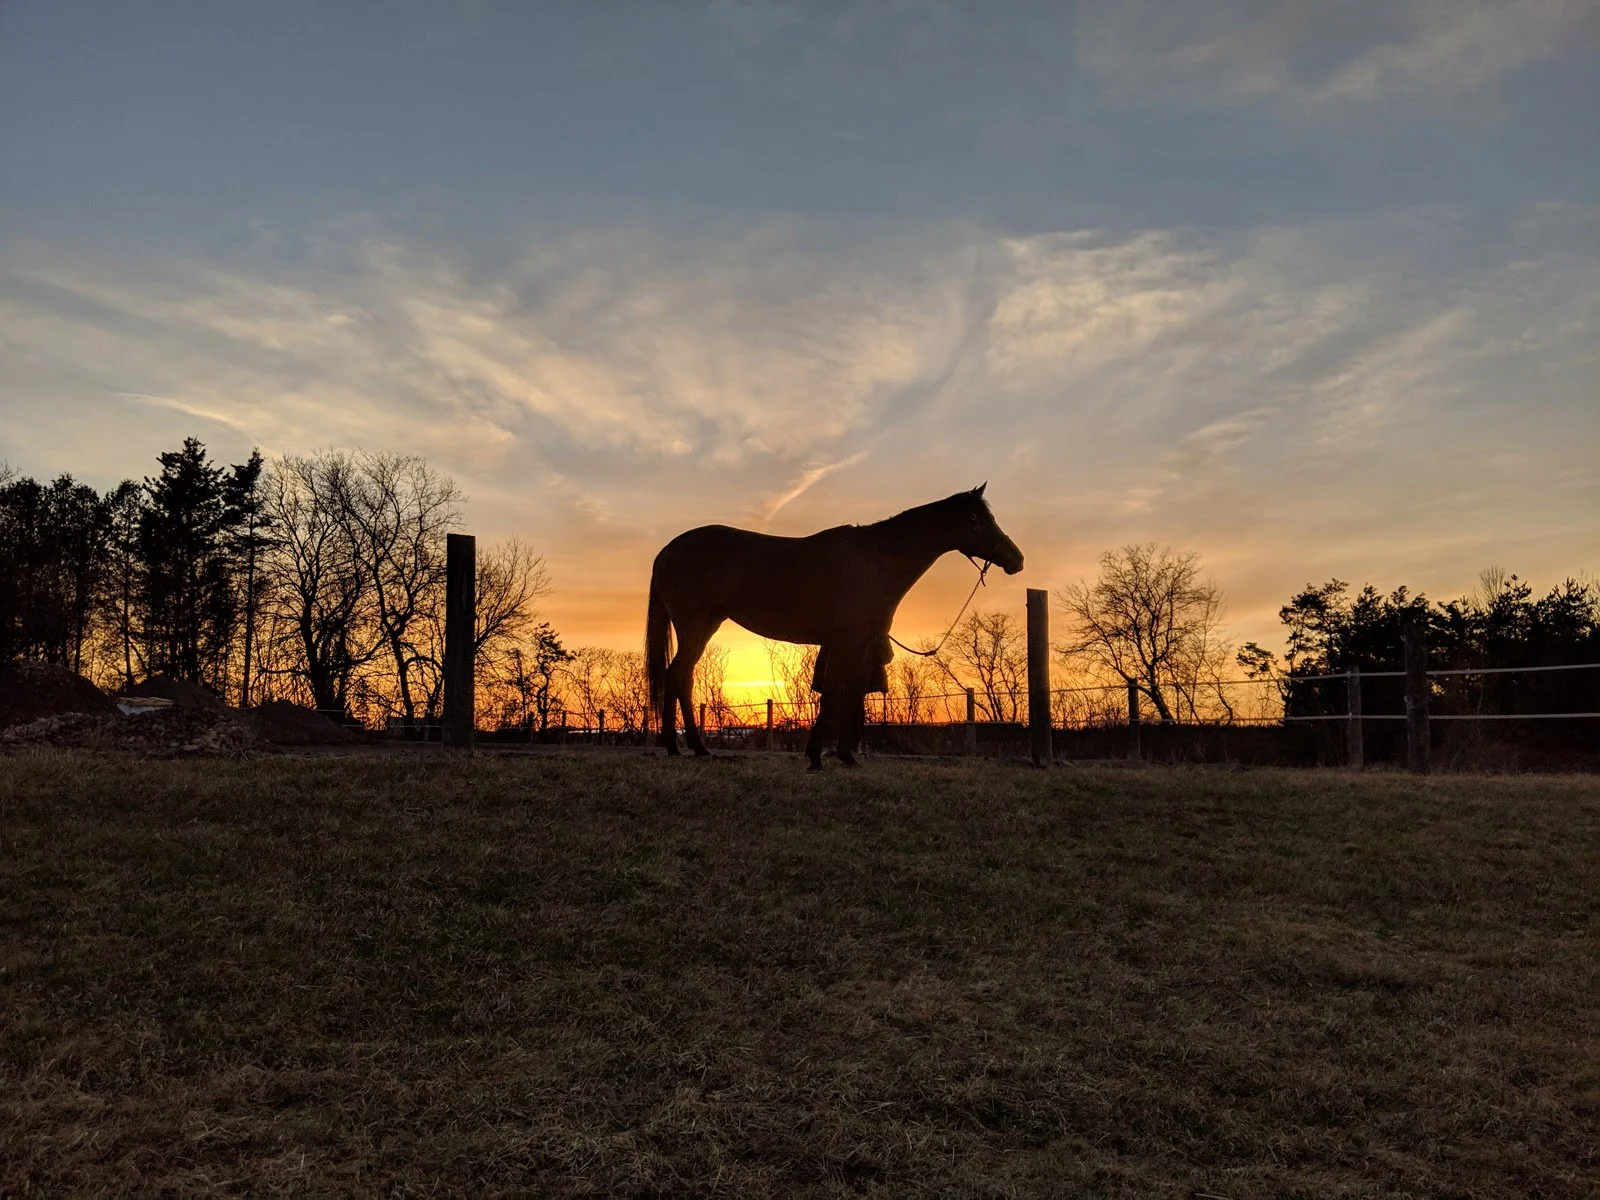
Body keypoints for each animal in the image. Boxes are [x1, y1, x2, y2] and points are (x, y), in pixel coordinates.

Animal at [646, 485, 1024, 770]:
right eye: (976, 519)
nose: (1017, 559)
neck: (876, 560)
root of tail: (667, 550)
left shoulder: (859, 645)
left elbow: (850, 693)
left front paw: (844, 756)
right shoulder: (848, 643)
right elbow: (836, 695)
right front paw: (817, 756)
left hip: (707, 623)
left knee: (679, 675)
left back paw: (682, 747)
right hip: (695, 624)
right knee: (679, 675)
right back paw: (692, 747)